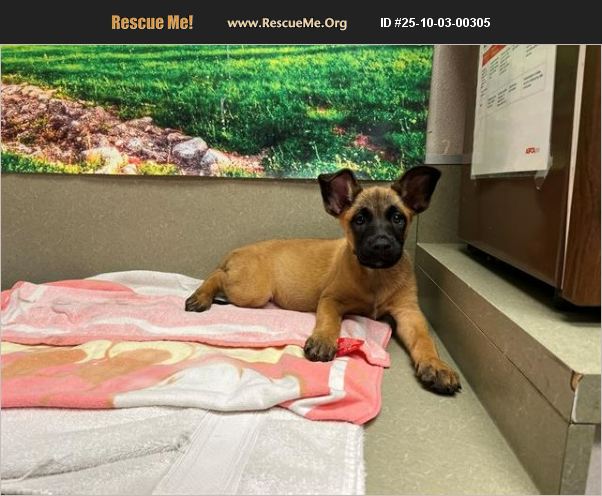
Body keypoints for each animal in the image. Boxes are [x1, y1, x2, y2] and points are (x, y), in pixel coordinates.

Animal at [185, 166, 461, 394]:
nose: (381, 245)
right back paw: (201, 296)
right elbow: (329, 321)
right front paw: (323, 341)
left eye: (397, 218)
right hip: (253, 291)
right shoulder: (331, 299)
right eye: (359, 220)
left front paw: (436, 365)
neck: (375, 276)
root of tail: (237, 252)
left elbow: (424, 339)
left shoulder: (409, 312)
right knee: (218, 275)